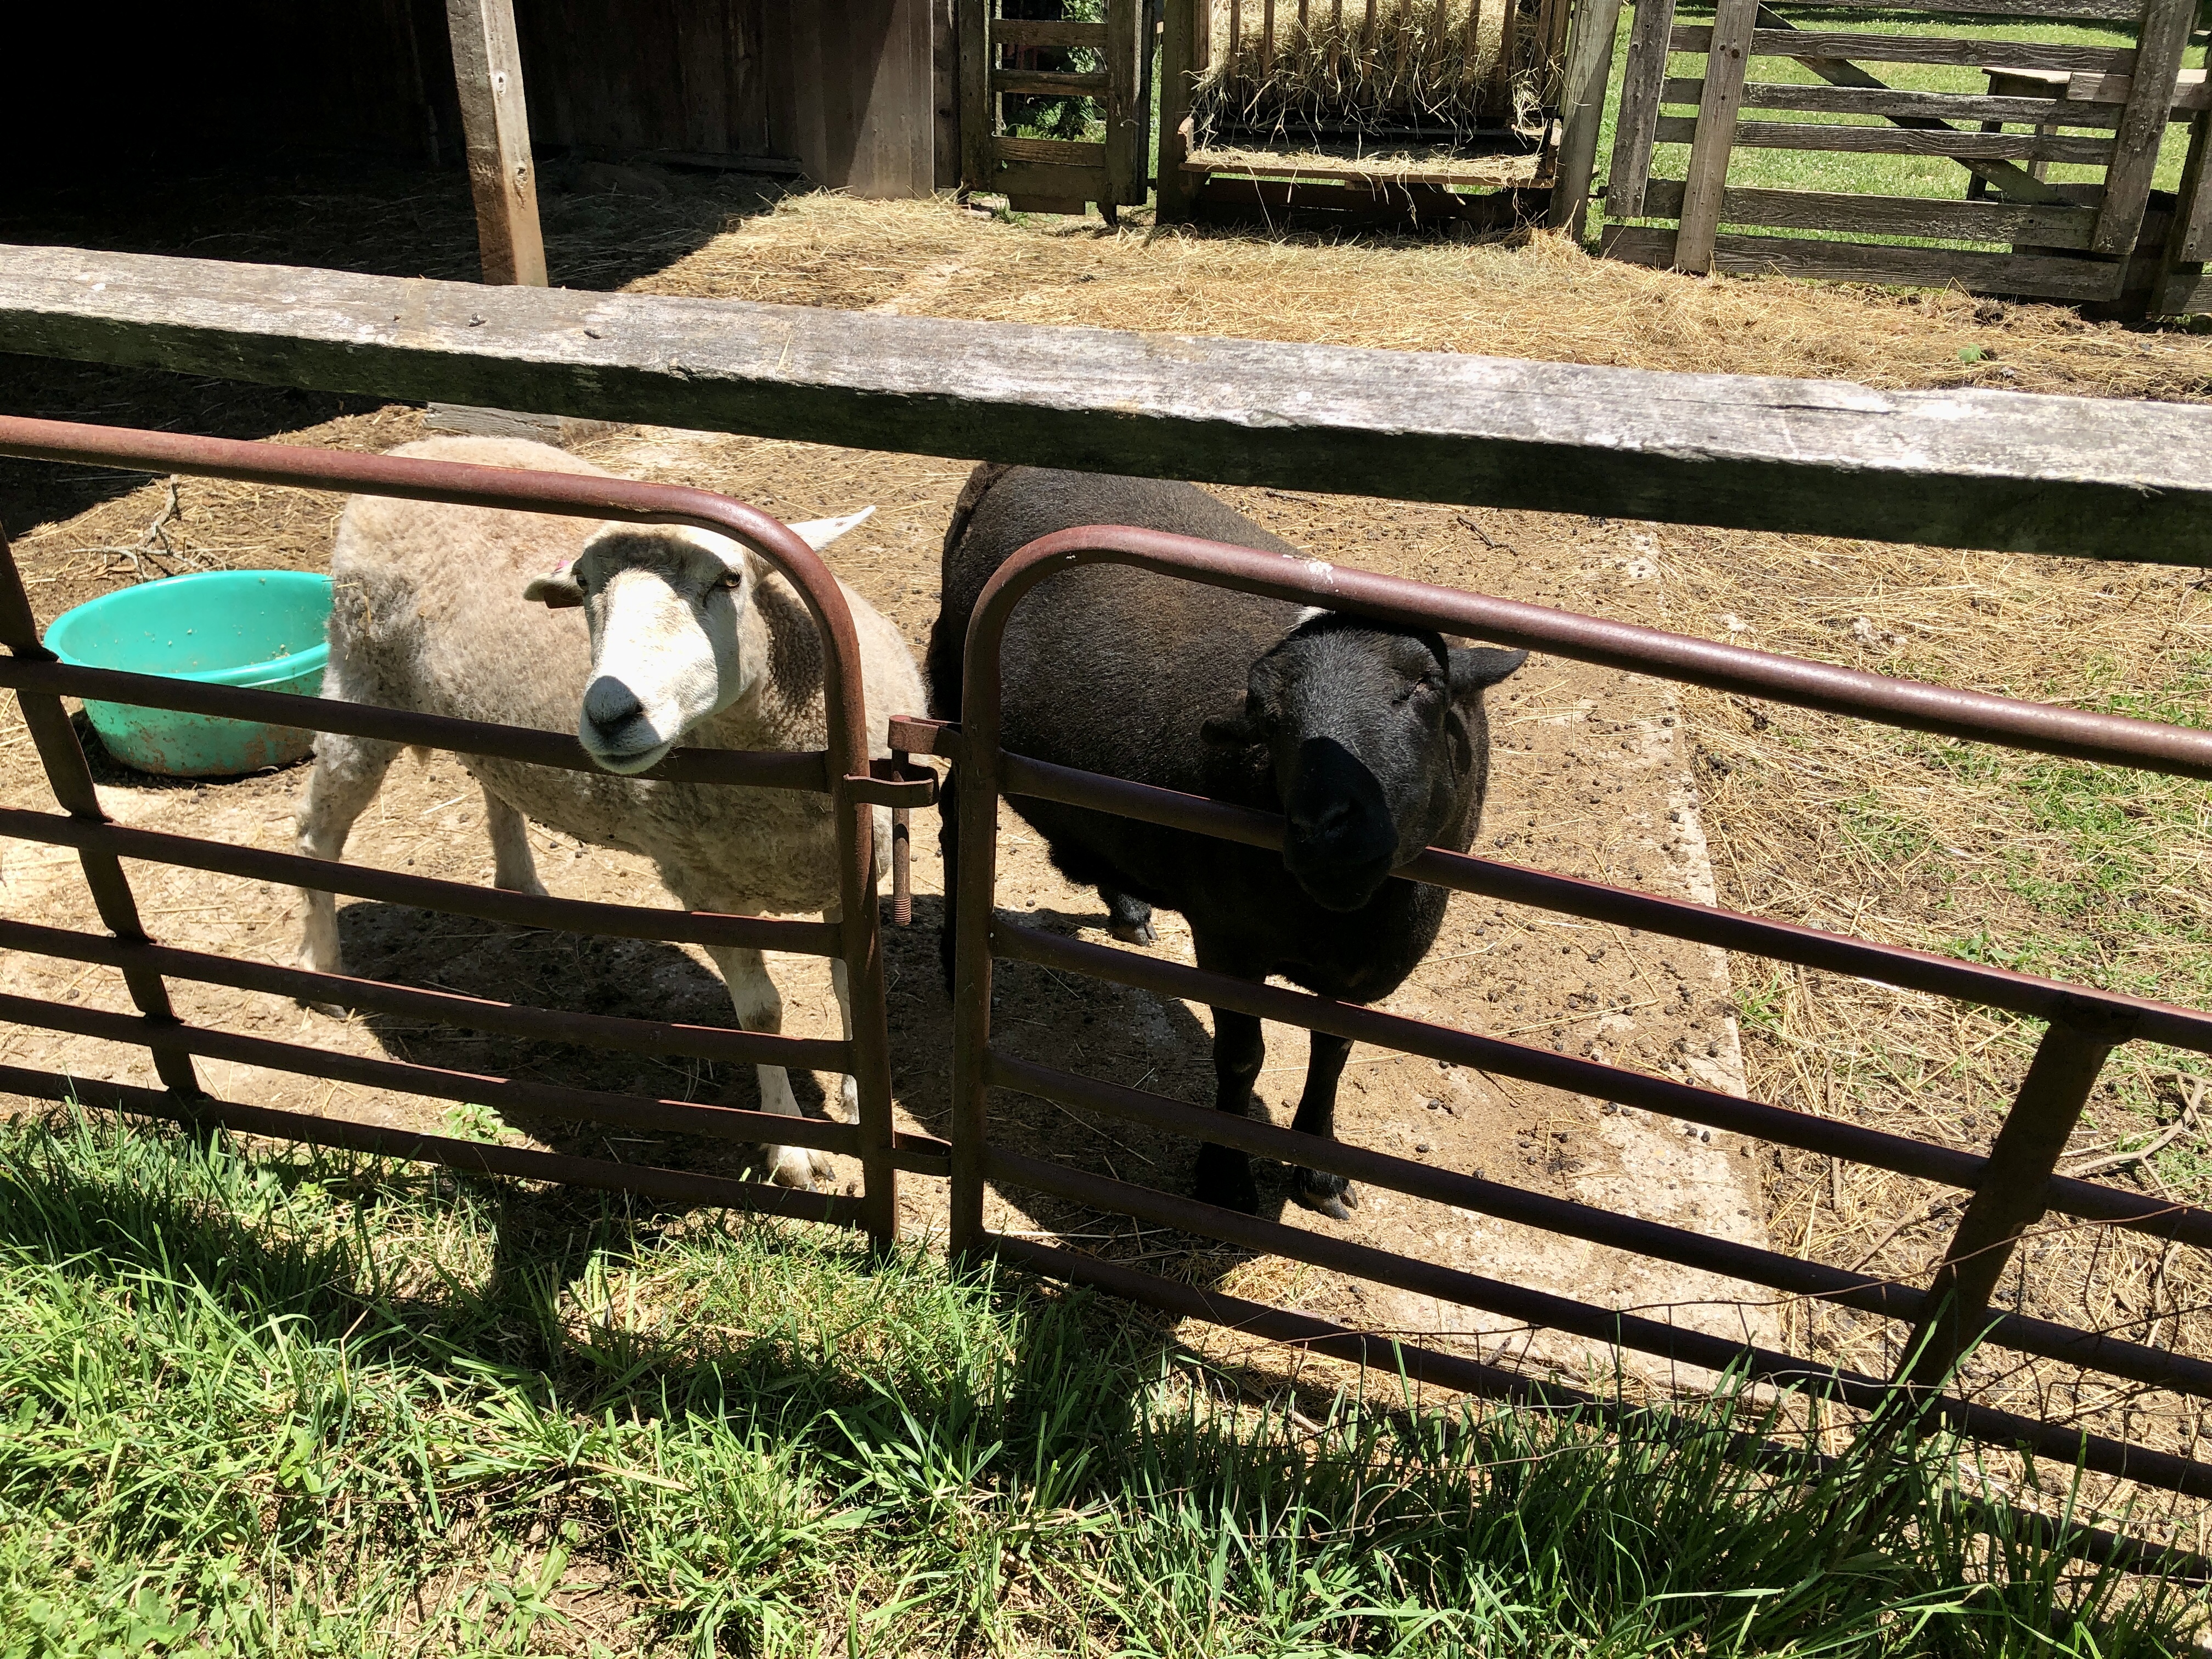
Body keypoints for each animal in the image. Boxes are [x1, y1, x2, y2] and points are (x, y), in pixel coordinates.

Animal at [292, 437, 925, 1190]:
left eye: (729, 581)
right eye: (586, 586)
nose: (609, 714)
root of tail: (420, 447)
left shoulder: (850, 869)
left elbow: (852, 993)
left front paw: (864, 1109)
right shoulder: (702, 883)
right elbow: (763, 1011)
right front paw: (790, 1147)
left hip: (471, 715)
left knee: (495, 790)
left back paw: (519, 888)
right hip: (361, 680)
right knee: (317, 834)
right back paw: (323, 972)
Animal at [929, 464, 1524, 1219]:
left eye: (1427, 684)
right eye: (1267, 716)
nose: (1326, 828)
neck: (1349, 919)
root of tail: (1003, 468)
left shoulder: (1359, 973)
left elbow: (1335, 1050)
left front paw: (1320, 1173)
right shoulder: (1228, 942)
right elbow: (1243, 1057)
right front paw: (1224, 1176)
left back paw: (1128, 908)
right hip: (960, 698)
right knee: (955, 819)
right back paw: (958, 962)